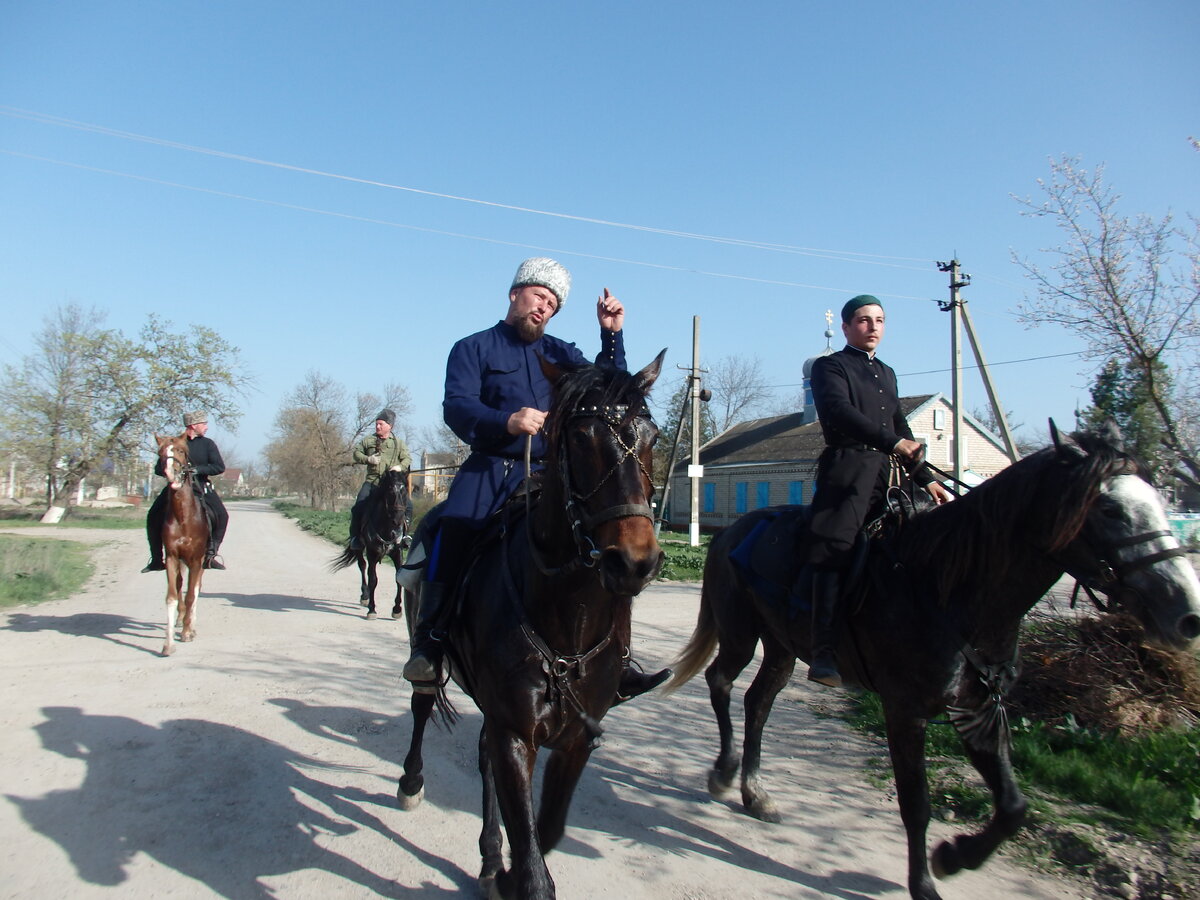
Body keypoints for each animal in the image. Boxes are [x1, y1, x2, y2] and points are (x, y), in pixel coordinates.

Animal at [154, 434, 211, 657]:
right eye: (160, 453)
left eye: (180, 451)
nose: (171, 473)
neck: (184, 517)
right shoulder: (171, 558)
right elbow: (172, 597)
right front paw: (168, 644)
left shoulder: (196, 560)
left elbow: (191, 595)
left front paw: (187, 632)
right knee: (180, 588)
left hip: (201, 562)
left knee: (194, 590)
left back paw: (190, 625)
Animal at [333, 465, 412, 619]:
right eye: (390, 491)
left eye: (405, 491)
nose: (398, 520)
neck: (388, 527)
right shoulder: (372, 553)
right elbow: (373, 579)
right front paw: (372, 609)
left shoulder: (397, 552)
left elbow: (398, 578)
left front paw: (397, 609)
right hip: (359, 549)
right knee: (363, 566)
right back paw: (365, 596)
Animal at [398, 355, 672, 900]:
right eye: (582, 437)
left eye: (652, 435)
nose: (635, 561)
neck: (568, 622)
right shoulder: (515, 732)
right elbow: (533, 869)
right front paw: (510, 872)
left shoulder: (575, 741)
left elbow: (546, 831)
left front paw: (500, 870)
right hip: (428, 657)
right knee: (421, 706)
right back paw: (411, 783)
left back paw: (488, 856)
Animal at [667, 422, 1200, 900]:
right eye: (1109, 508)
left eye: (1159, 501)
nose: (1187, 615)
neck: (948, 585)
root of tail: (729, 534)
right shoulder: (906, 711)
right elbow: (916, 803)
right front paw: (924, 884)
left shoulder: (978, 710)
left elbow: (1013, 806)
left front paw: (955, 857)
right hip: (741, 636)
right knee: (720, 682)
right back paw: (724, 772)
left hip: (782, 648)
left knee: (758, 703)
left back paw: (755, 793)